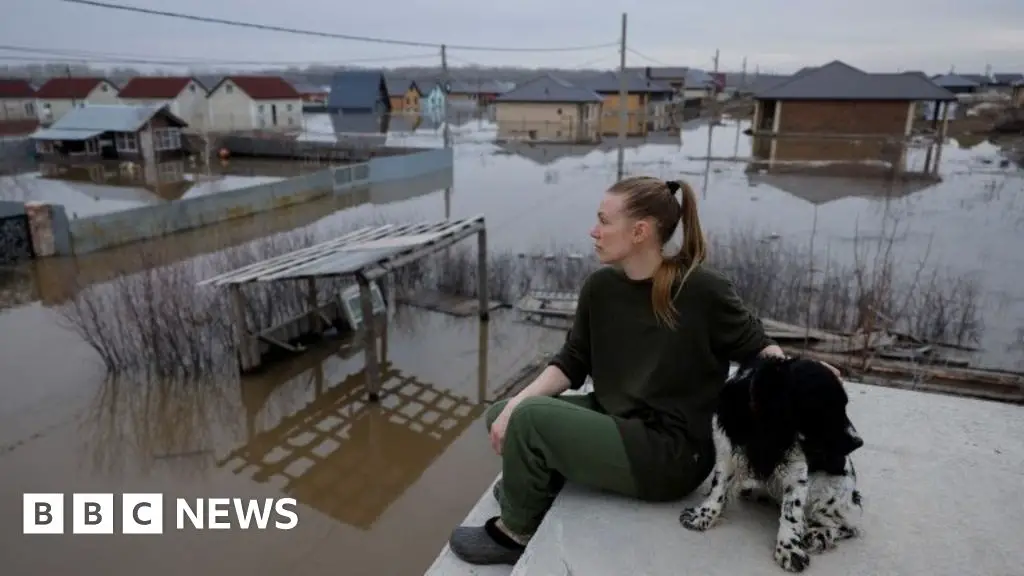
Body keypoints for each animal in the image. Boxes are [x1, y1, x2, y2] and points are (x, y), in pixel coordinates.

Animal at [679, 354, 864, 569]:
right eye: (826, 408)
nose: (859, 442)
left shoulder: (796, 470)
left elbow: (792, 511)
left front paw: (788, 548)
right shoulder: (726, 451)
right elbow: (718, 487)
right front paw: (703, 515)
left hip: (824, 490)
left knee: (846, 526)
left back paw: (817, 535)